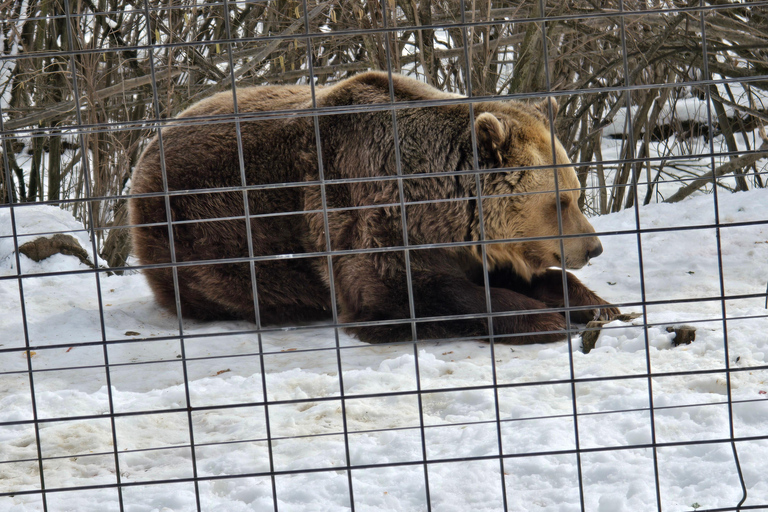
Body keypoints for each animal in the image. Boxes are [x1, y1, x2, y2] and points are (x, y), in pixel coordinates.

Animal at [128, 71, 619, 344]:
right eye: (561, 201)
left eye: (575, 191)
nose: (593, 248)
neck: (432, 208)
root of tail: (150, 145)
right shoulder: (367, 213)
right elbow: (407, 293)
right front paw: (542, 319)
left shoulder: (464, 241)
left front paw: (596, 305)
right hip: (193, 233)